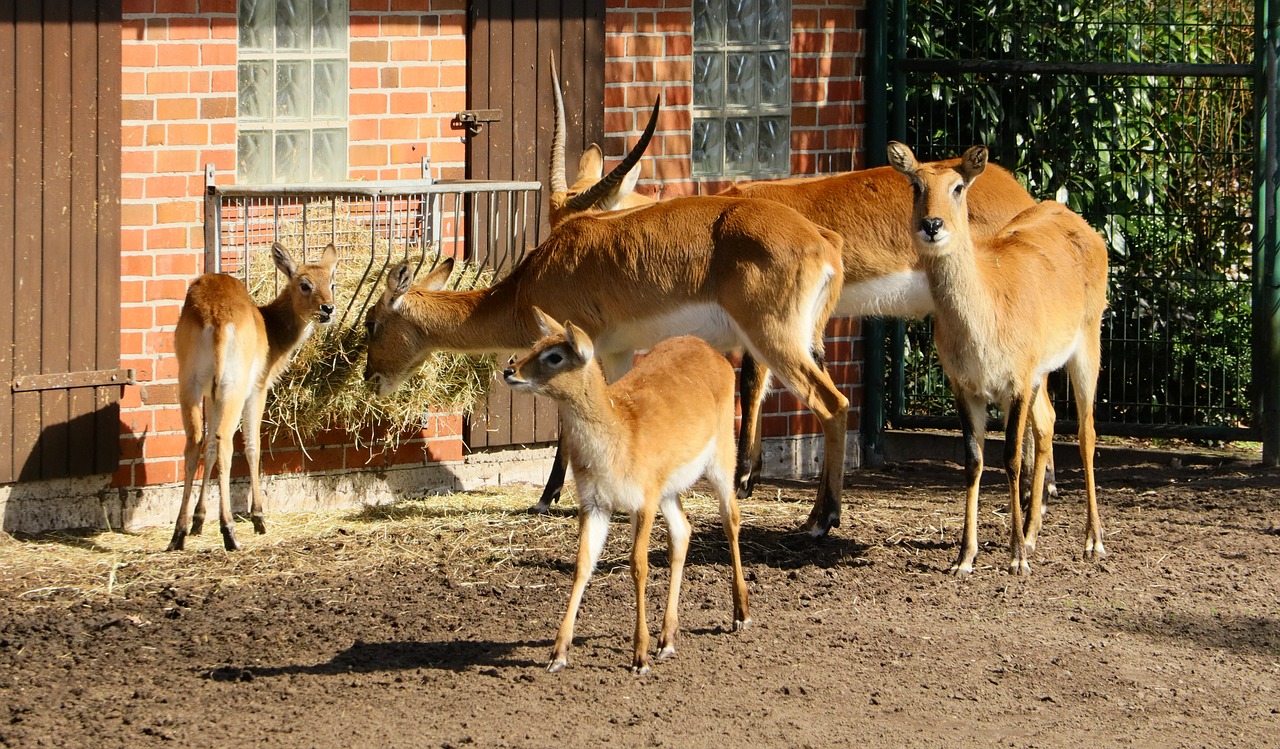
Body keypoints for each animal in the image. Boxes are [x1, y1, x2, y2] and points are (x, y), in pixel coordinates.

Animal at [166, 243, 340, 547]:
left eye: (331, 282)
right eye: (304, 284)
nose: (328, 308)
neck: (272, 330)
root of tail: (215, 317)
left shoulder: (211, 394)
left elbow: (208, 447)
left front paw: (199, 520)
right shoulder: (258, 388)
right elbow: (252, 446)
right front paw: (259, 517)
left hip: (190, 382)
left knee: (195, 441)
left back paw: (179, 533)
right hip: (234, 385)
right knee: (225, 441)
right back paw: (229, 532)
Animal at [366, 193, 849, 535]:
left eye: (371, 323)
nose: (371, 378)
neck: (528, 285)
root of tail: (825, 242)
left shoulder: (580, 348)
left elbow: (568, 425)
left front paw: (545, 499)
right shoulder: (616, 352)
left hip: (774, 339)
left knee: (833, 404)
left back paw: (820, 521)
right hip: (803, 341)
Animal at [501, 312, 747, 676]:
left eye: (555, 356)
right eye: (536, 344)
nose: (510, 371)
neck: (619, 435)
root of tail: (711, 351)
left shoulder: (642, 502)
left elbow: (638, 565)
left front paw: (639, 657)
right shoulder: (595, 503)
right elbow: (583, 563)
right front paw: (558, 654)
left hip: (721, 458)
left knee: (730, 519)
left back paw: (740, 615)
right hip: (668, 490)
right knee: (683, 531)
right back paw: (667, 640)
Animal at [890, 144, 1111, 578]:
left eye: (958, 186)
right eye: (916, 184)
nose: (932, 224)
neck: (985, 316)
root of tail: (1080, 224)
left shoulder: (1017, 383)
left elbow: (1009, 458)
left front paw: (1016, 558)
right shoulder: (966, 388)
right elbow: (974, 460)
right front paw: (965, 558)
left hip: (1086, 345)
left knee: (1086, 432)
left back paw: (1092, 542)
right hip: (1042, 374)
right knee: (1047, 425)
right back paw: (1033, 533)